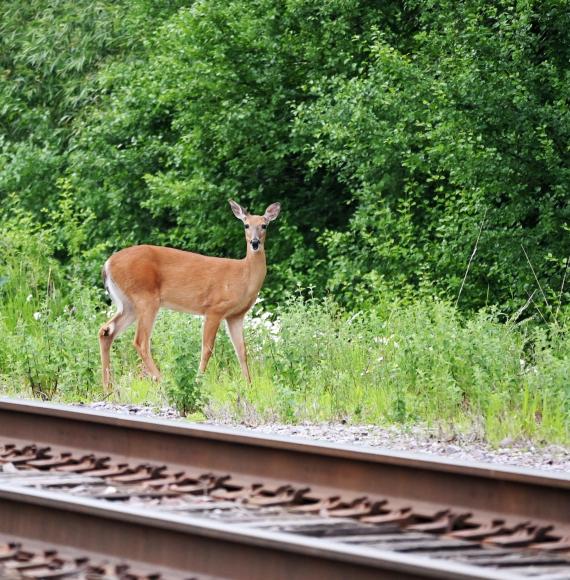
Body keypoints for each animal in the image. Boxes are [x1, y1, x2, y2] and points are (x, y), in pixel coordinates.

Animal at [100, 197, 282, 392]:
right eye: (246, 225)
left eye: (264, 225)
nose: (255, 243)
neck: (243, 276)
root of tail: (107, 265)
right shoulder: (214, 308)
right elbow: (207, 348)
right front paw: (198, 382)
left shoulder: (235, 315)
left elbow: (241, 350)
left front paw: (249, 386)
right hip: (146, 298)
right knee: (140, 341)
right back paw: (163, 382)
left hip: (129, 304)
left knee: (106, 331)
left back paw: (108, 387)